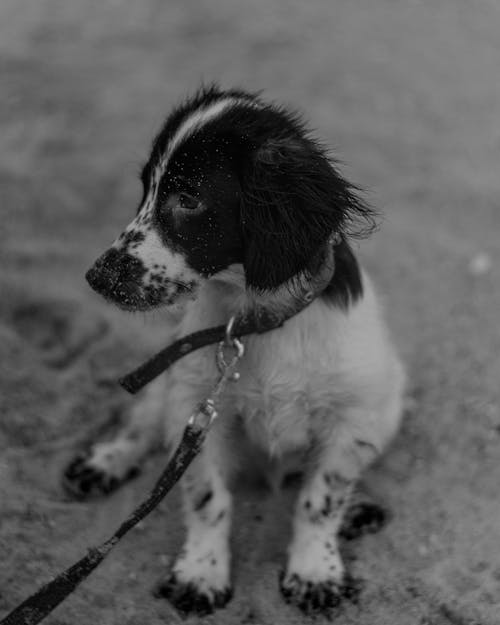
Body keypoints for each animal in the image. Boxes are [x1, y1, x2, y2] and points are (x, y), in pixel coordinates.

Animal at [64, 86, 404, 616]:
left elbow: (320, 498)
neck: (257, 320)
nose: (96, 278)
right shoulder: (197, 406)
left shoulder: (353, 414)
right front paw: (201, 574)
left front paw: (315, 571)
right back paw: (106, 462)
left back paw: (360, 507)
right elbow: (208, 497)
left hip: (390, 401)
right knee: (143, 426)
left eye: (188, 198)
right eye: (146, 192)